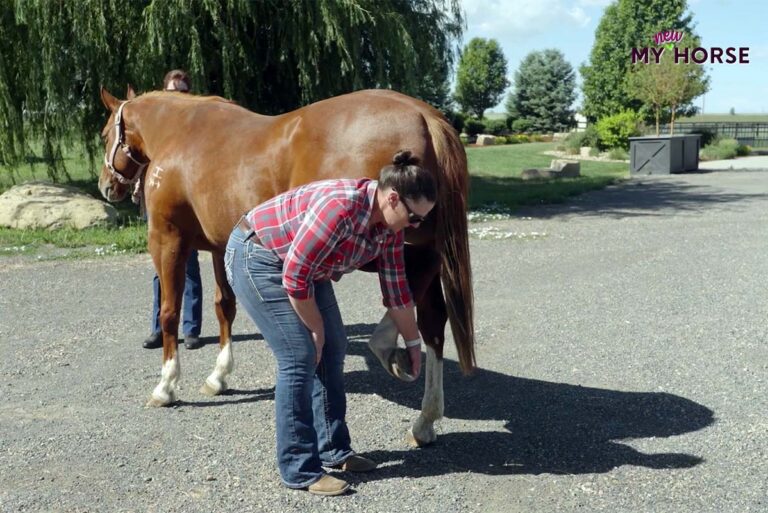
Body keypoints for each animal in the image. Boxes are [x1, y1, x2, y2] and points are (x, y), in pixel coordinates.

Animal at [97, 87, 474, 447]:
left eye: (104, 135)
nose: (106, 186)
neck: (180, 131)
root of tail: (423, 115)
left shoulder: (167, 240)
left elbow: (169, 312)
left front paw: (166, 385)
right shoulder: (220, 246)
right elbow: (224, 307)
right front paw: (219, 375)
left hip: (379, 244)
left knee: (417, 279)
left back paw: (385, 345)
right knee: (432, 322)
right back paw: (425, 419)